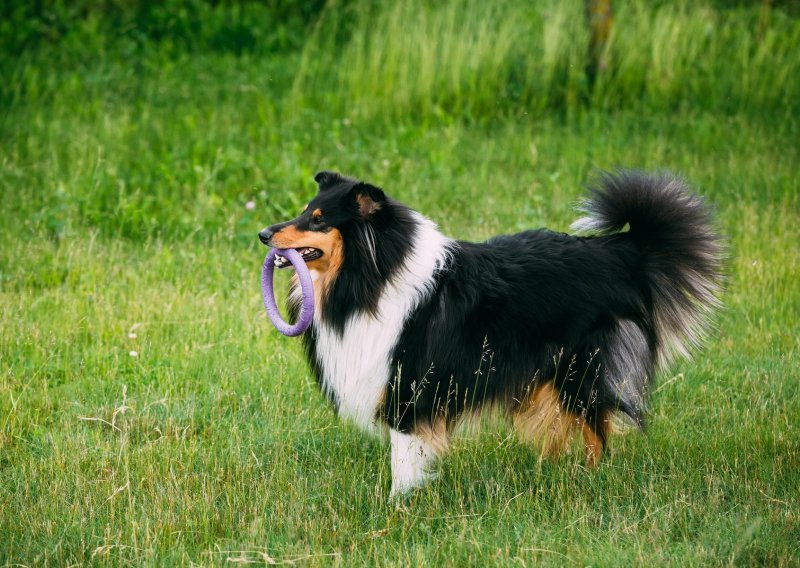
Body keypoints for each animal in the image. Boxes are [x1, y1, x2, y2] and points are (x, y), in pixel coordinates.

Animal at [260, 169, 720, 496]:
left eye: (319, 220)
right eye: (305, 211)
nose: (263, 234)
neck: (373, 275)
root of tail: (619, 251)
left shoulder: (409, 386)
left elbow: (403, 459)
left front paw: (397, 506)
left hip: (579, 369)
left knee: (597, 431)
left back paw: (590, 481)